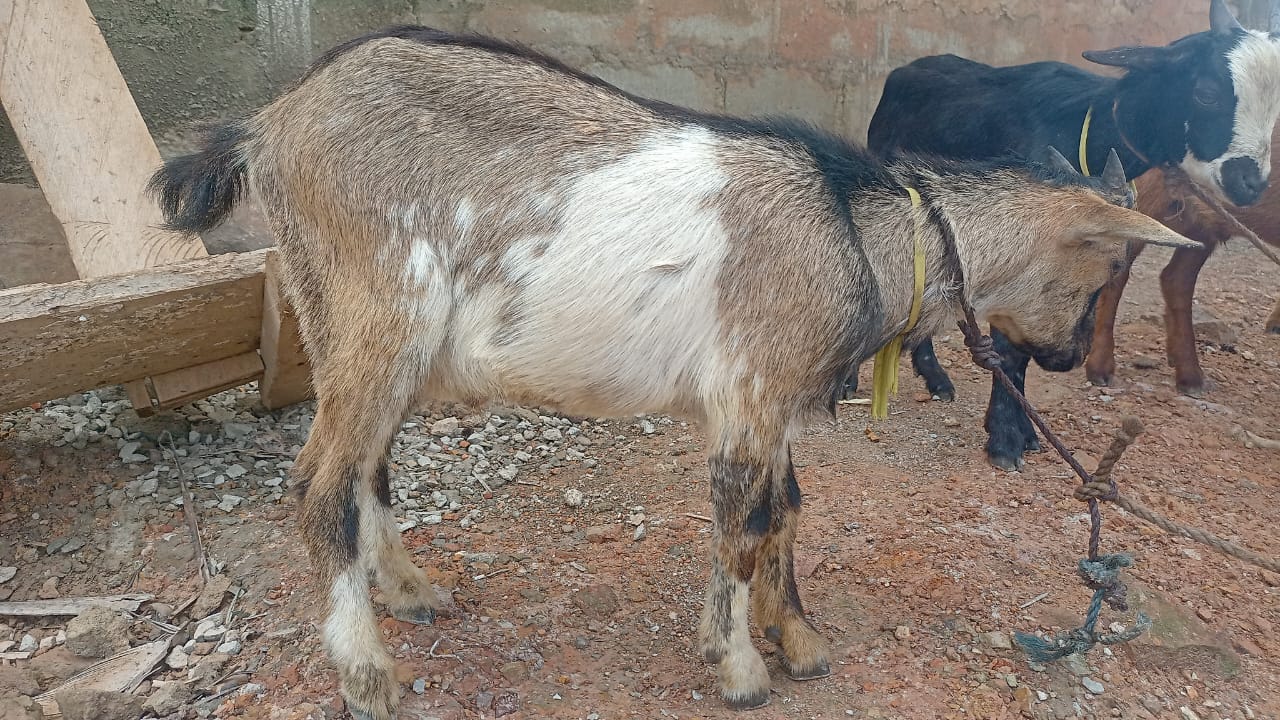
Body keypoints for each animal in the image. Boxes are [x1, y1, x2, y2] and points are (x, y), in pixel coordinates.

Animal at [147, 26, 1199, 718]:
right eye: (1110, 266)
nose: (1063, 357)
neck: (856, 230)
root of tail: (270, 124)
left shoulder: (767, 398)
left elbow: (785, 510)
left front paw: (799, 640)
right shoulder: (751, 390)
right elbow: (742, 520)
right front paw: (739, 668)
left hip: (348, 329)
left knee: (366, 467)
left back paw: (410, 591)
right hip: (377, 307)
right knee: (320, 483)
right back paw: (367, 673)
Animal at [1086, 126, 1280, 396]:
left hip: (1201, 221)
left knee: (1176, 278)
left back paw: (1189, 375)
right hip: (1144, 194)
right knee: (1118, 271)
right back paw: (1100, 368)